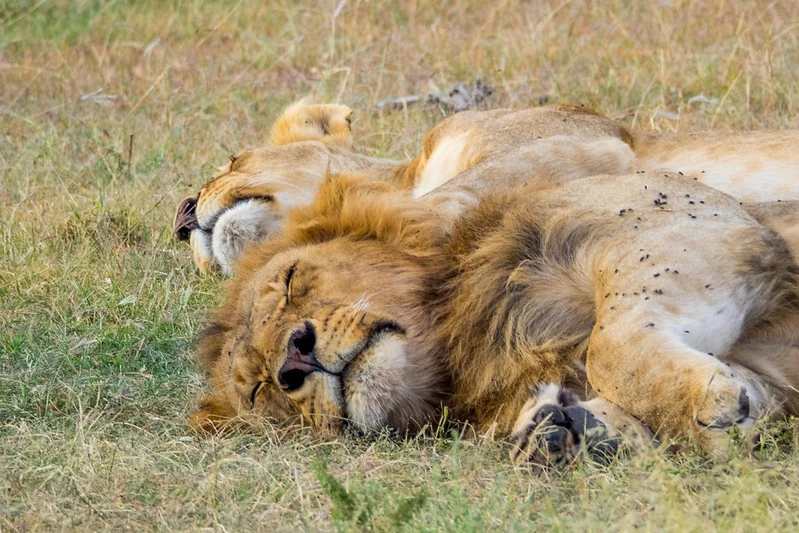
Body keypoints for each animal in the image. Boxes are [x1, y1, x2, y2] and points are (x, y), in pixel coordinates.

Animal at [189, 167, 799, 466]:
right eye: (259, 390)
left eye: (293, 281)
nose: (294, 360)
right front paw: (566, 430)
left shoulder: (692, 221)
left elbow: (610, 345)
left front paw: (708, 407)